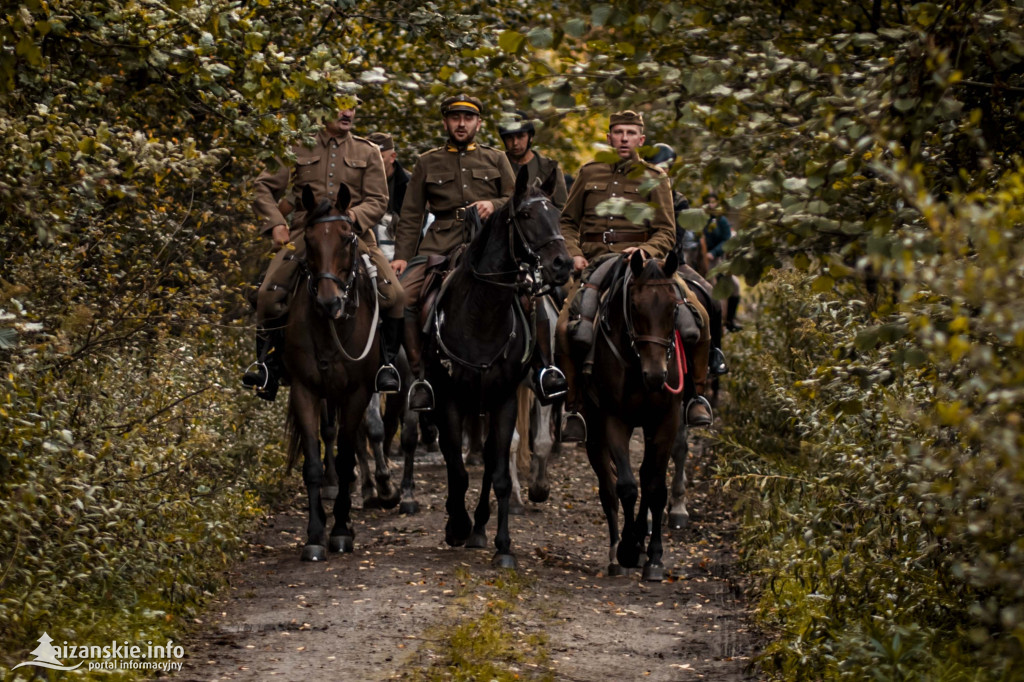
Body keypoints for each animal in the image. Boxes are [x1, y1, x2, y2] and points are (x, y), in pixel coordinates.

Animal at [282, 183, 382, 561]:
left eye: (347, 236)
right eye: (309, 241)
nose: (329, 303)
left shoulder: (357, 393)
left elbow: (345, 457)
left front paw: (340, 531)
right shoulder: (304, 390)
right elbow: (312, 463)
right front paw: (314, 535)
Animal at [419, 166, 573, 565]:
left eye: (557, 213)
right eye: (526, 215)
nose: (563, 264)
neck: (481, 314)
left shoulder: (504, 398)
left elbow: (501, 469)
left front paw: (503, 544)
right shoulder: (449, 401)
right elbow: (457, 470)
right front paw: (456, 525)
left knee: (493, 458)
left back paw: (481, 526)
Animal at [573, 249, 684, 577]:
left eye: (673, 307)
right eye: (634, 307)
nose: (656, 376)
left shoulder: (666, 421)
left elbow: (654, 487)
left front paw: (654, 557)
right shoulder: (614, 420)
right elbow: (626, 486)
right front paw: (627, 548)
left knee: (647, 477)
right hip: (594, 432)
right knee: (608, 489)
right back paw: (615, 554)